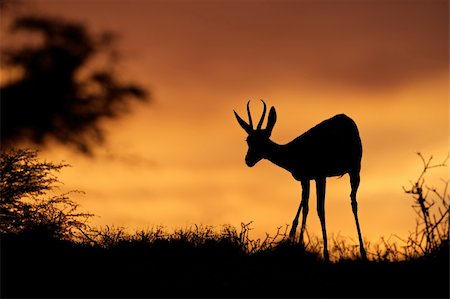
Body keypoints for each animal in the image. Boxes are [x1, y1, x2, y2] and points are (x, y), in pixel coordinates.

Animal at [234, 100, 368, 260]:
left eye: (263, 140)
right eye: (248, 140)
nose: (248, 160)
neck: (292, 152)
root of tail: (348, 120)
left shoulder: (319, 176)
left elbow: (320, 209)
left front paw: (325, 253)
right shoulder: (306, 179)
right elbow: (306, 208)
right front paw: (299, 244)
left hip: (355, 170)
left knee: (353, 203)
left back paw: (363, 251)